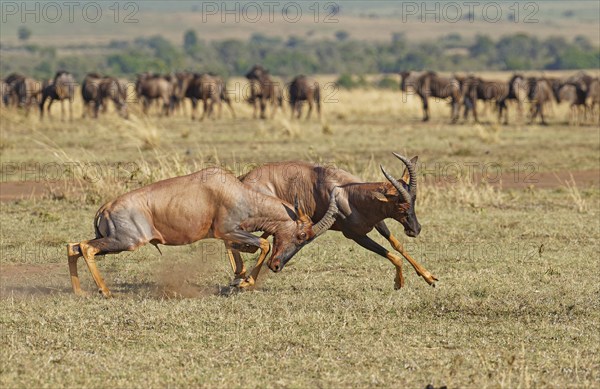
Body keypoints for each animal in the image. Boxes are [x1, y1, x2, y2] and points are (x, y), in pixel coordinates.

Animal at [67, 167, 338, 298]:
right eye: (302, 236)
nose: (277, 266)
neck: (236, 191)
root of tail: (104, 207)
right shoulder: (228, 230)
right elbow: (263, 244)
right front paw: (246, 282)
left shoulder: (226, 234)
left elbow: (241, 251)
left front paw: (239, 278)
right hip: (127, 241)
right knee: (85, 247)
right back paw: (105, 291)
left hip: (111, 239)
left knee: (74, 246)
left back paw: (80, 291)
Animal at [233, 153, 436, 290]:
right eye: (401, 207)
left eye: (414, 200)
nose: (415, 229)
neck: (348, 194)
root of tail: (244, 178)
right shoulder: (356, 236)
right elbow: (393, 256)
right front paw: (398, 283)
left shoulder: (378, 223)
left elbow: (396, 245)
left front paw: (429, 277)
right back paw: (244, 279)